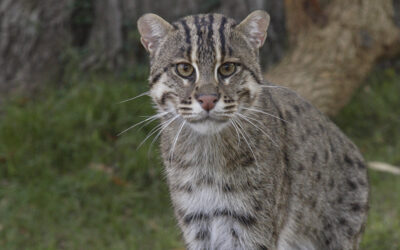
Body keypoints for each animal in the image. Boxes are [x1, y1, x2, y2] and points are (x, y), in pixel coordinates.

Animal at [138, 10, 368, 250]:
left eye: (228, 68)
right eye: (184, 69)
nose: (208, 100)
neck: (207, 152)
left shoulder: (251, 226)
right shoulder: (196, 222)